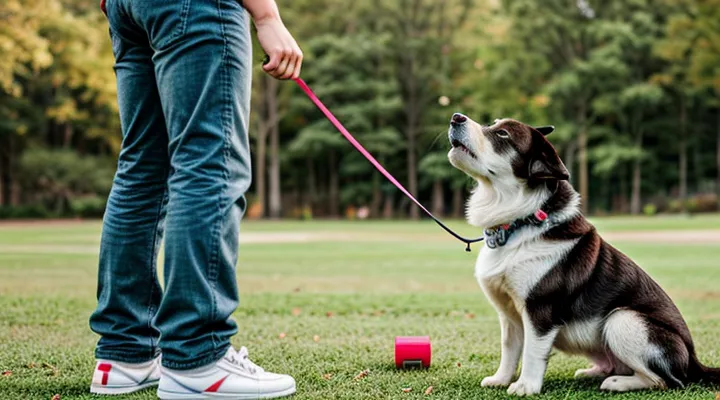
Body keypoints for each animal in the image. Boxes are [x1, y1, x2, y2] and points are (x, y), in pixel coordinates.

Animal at [448, 113, 716, 396]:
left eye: (503, 135)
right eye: (491, 124)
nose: (456, 117)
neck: (520, 221)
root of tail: (694, 362)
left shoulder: (540, 309)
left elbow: (532, 352)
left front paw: (526, 386)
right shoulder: (508, 313)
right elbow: (509, 348)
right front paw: (501, 379)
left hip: (622, 320)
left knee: (667, 380)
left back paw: (618, 383)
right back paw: (596, 371)